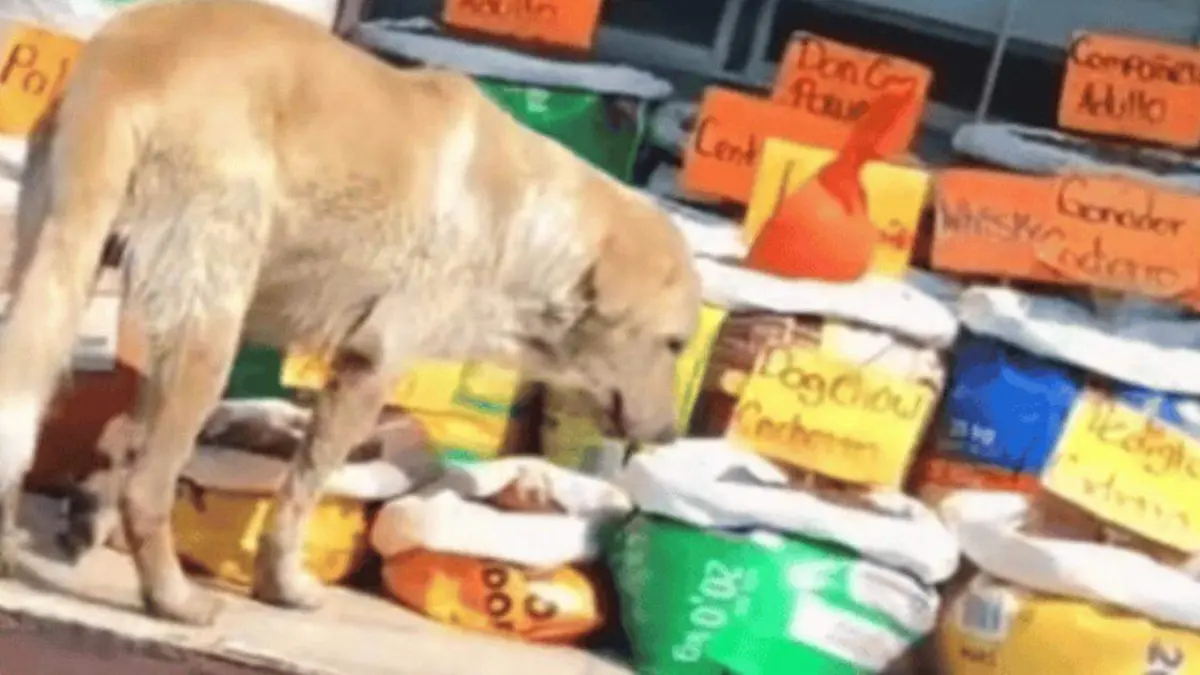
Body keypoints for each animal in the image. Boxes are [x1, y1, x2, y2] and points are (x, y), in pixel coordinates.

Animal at [0, 0, 700, 624]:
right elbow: (297, 497)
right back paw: (173, 600)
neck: (534, 223)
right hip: (209, 331)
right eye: (674, 344)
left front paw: (88, 514)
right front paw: (281, 586)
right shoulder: (371, 365)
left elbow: (122, 434)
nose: (670, 434)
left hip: (63, 269)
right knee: (150, 487)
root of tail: (130, 59)